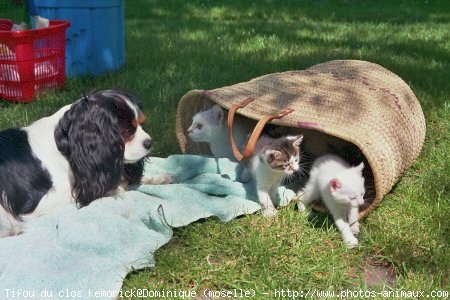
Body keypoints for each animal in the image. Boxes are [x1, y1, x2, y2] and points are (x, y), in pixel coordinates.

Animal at [0, 89, 172, 237]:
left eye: (142, 124)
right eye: (127, 131)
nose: (149, 142)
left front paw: (159, 178)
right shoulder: (36, 207)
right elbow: (88, 192)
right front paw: (117, 191)